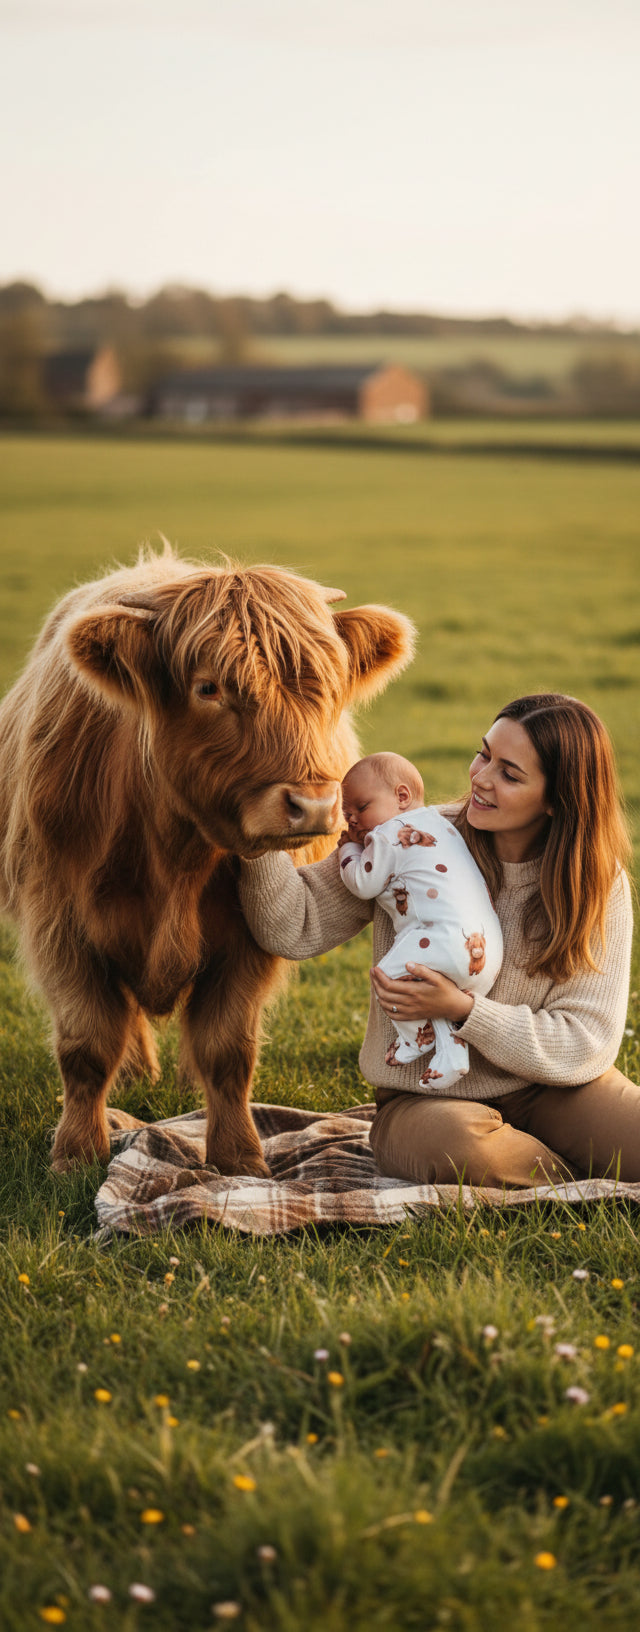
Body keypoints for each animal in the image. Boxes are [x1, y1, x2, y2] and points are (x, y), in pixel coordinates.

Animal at [0, 546, 414, 1177]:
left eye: (327, 683)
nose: (315, 804)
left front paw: (240, 1159)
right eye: (209, 687)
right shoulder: (58, 922)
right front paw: (75, 1154)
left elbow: (227, 1050)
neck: (173, 853)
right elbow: (87, 1044)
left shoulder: (250, 941)